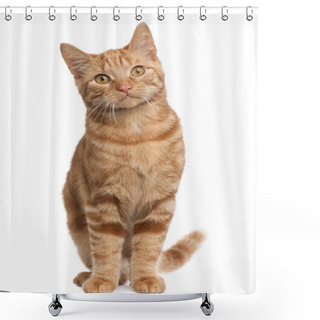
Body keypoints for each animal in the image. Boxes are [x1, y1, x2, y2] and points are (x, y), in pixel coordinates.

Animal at [60, 21, 205, 292]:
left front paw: (146, 278)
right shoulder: (102, 200)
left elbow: (148, 245)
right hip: (78, 229)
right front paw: (102, 280)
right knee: (107, 261)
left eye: (137, 71)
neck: (136, 134)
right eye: (102, 79)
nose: (125, 87)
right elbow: (105, 246)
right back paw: (92, 276)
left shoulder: (160, 199)